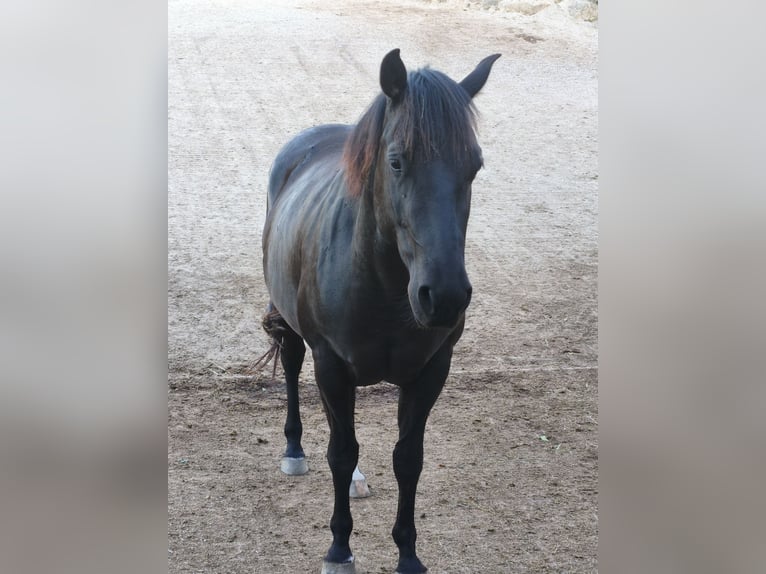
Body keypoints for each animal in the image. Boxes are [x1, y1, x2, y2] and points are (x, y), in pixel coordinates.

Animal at [261, 48, 499, 574]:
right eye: (396, 161)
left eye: (474, 166)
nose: (444, 296)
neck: (386, 290)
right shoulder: (331, 364)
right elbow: (341, 451)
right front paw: (339, 549)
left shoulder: (431, 371)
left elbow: (408, 459)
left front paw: (408, 554)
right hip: (297, 334)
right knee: (293, 368)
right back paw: (294, 449)